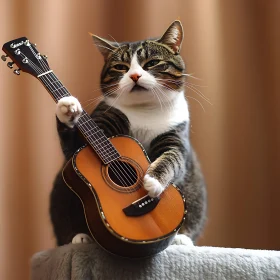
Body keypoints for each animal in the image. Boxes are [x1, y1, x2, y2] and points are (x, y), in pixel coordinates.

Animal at [50, 20, 207, 247]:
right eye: (120, 67)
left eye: (152, 63)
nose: (134, 75)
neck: (145, 111)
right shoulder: (94, 133)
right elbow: (73, 145)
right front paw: (67, 107)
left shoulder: (175, 137)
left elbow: (172, 159)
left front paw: (153, 181)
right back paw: (80, 237)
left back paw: (181, 239)